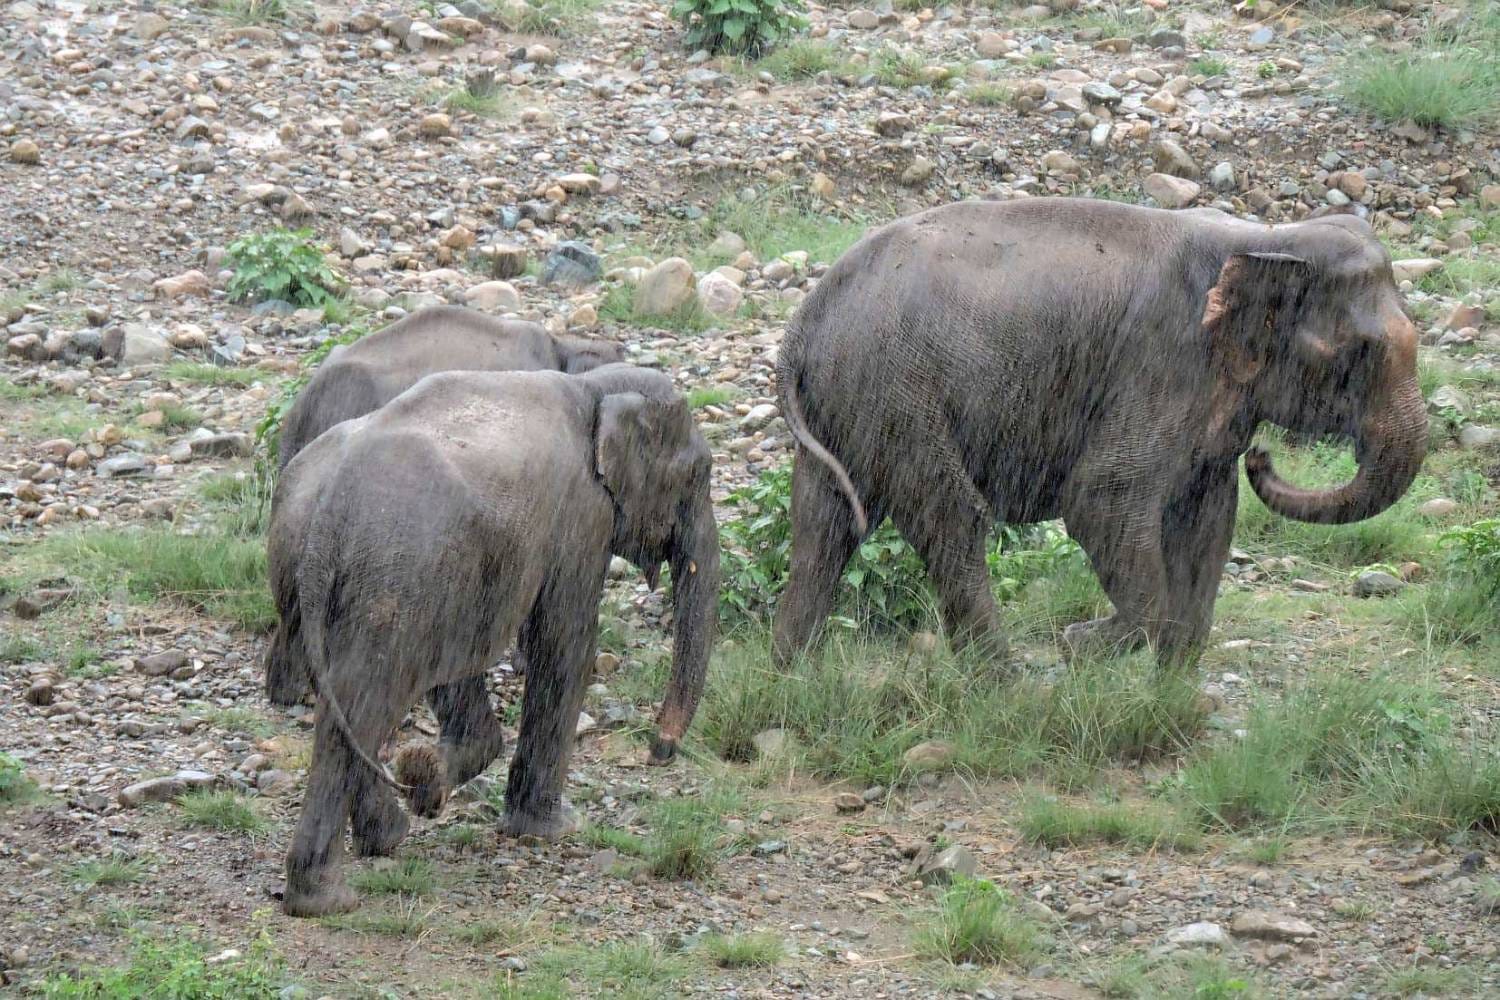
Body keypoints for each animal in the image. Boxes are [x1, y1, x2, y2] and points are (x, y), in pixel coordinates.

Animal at [268, 363, 719, 916]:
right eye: (698, 475)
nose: (658, 751)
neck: (593, 387)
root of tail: (327, 514)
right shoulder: (581, 515)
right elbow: (565, 642)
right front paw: (552, 830)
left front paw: (430, 779)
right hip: (400, 577)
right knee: (368, 700)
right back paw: (329, 897)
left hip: (328, 575)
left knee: (365, 695)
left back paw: (390, 830)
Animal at [771, 197, 1426, 668]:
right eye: (1360, 353)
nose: (1262, 457)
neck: (1266, 239)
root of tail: (804, 320)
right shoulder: (1162, 361)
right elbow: (1100, 499)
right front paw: (1081, 643)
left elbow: (1207, 513)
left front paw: (1173, 684)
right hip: (895, 393)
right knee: (949, 519)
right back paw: (1005, 683)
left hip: (850, 403)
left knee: (821, 524)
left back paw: (793, 675)